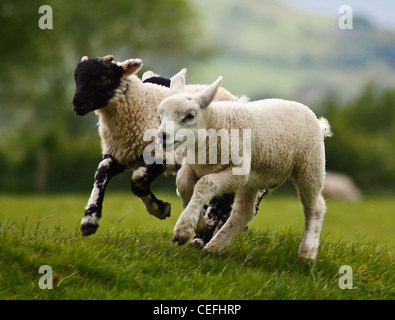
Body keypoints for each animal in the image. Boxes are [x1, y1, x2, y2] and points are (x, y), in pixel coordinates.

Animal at [158, 73, 334, 260]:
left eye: (190, 115)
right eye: (160, 116)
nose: (162, 136)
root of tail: (318, 123)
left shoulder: (239, 172)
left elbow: (205, 184)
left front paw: (183, 229)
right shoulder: (192, 166)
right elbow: (183, 184)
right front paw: (200, 224)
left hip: (310, 164)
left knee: (315, 207)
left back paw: (307, 253)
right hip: (256, 176)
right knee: (245, 211)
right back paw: (216, 246)